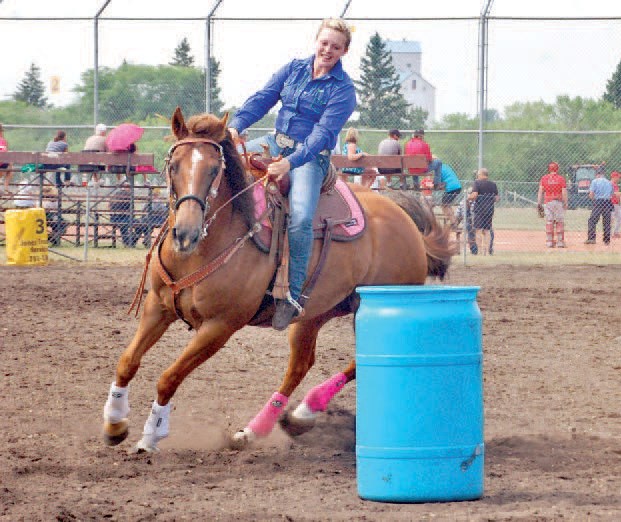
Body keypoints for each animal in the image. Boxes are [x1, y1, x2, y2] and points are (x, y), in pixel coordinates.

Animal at [101, 107, 456, 448]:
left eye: (215, 170)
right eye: (173, 165)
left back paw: (301, 413)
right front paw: (115, 423)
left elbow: (169, 377)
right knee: (300, 365)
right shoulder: (158, 306)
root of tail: (407, 224)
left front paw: (151, 435)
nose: (185, 233)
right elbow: (127, 361)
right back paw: (265, 427)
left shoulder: (219, 327)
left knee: (357, 362)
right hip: (314, 314)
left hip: (370, 307)